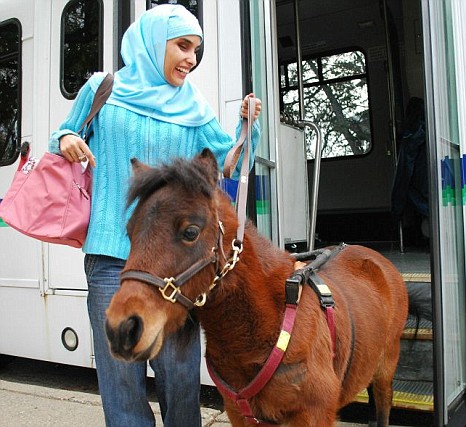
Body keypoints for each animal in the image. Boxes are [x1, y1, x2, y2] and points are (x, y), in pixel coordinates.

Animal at [104, 149, 408, 426]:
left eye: (190, 231)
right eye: (129, 232)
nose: (122, 328)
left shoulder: (314, 414)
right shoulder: (241, 414)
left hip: (386, 367)